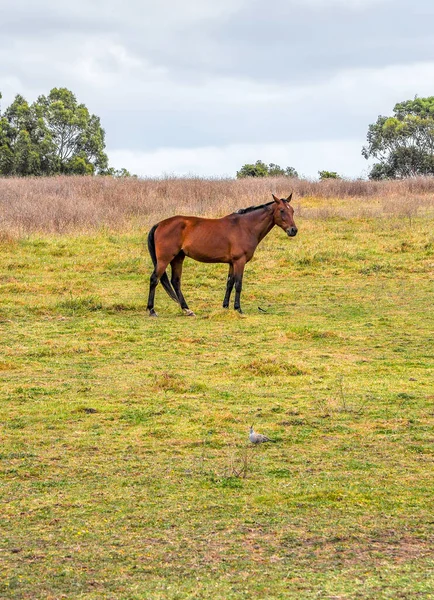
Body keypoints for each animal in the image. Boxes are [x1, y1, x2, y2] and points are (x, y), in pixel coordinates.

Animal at [147, 195, 296, 316]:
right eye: (282, 210)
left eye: (292, 211)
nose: (293, 230)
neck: (245, 227)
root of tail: (160, 224)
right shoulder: (239, 261)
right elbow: (238, 284)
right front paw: (238, 308)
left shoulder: (231, 263)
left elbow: (229, 283)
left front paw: (225, 307)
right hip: (164, 259)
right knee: (154, 279)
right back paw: (152, 310)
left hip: (178, 258)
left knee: (176, 282)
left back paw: (187, 309)